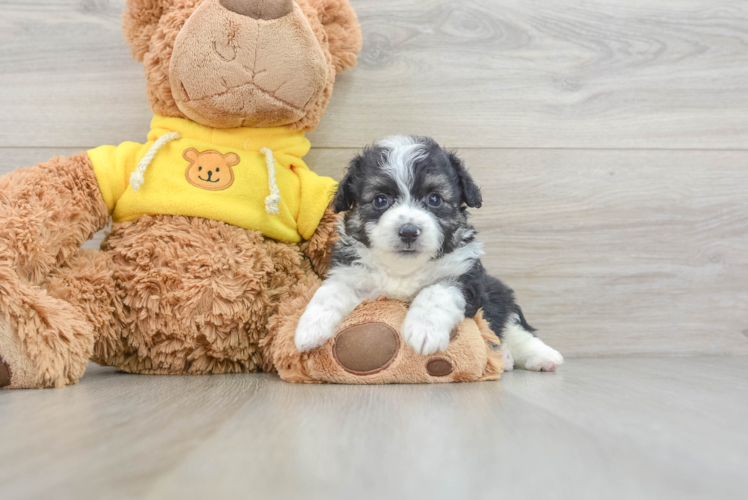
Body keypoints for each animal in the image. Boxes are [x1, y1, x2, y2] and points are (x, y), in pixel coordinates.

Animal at [296, 137, 564, 372]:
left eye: (434, 199)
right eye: (380, 200)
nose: (408, 231)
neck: (403, 269)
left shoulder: (465, 278)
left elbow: (435, 292)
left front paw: (424, 330)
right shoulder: (352, 273)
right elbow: (329, 292)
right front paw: (309, 328)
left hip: (498, 293)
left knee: (515, 330)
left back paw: (542, 357)